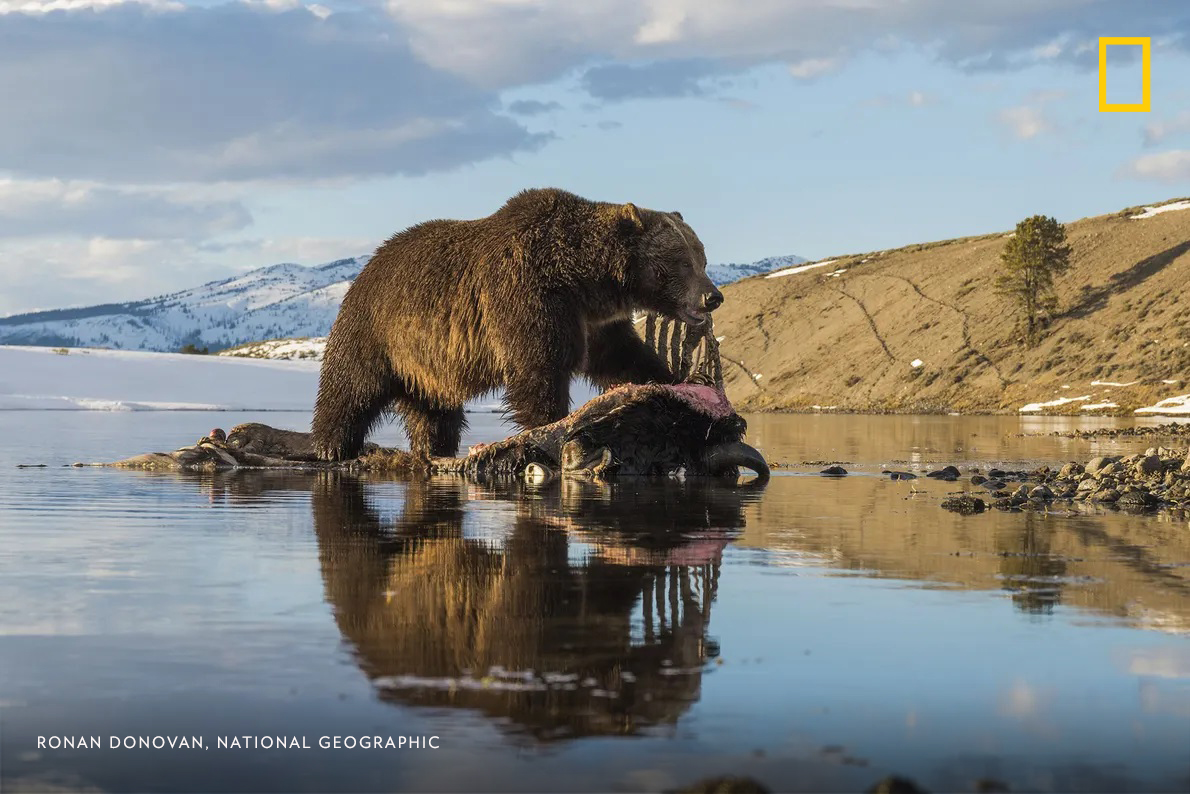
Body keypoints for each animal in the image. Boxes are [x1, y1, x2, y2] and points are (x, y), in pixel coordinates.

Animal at [311, 186, 718, 459]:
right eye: (682, 261)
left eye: (702, 257)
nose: (712, 296)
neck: (583, 278)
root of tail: (368, 265)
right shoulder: (527, 293)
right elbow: (539, 368)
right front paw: (548, 426)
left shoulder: (595, 320)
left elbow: (620, 357)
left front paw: (673, 380)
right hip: (378, 330)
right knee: (350, 387)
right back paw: (332, 446)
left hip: (428, 365)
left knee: (434, 410)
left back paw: (436, 447)